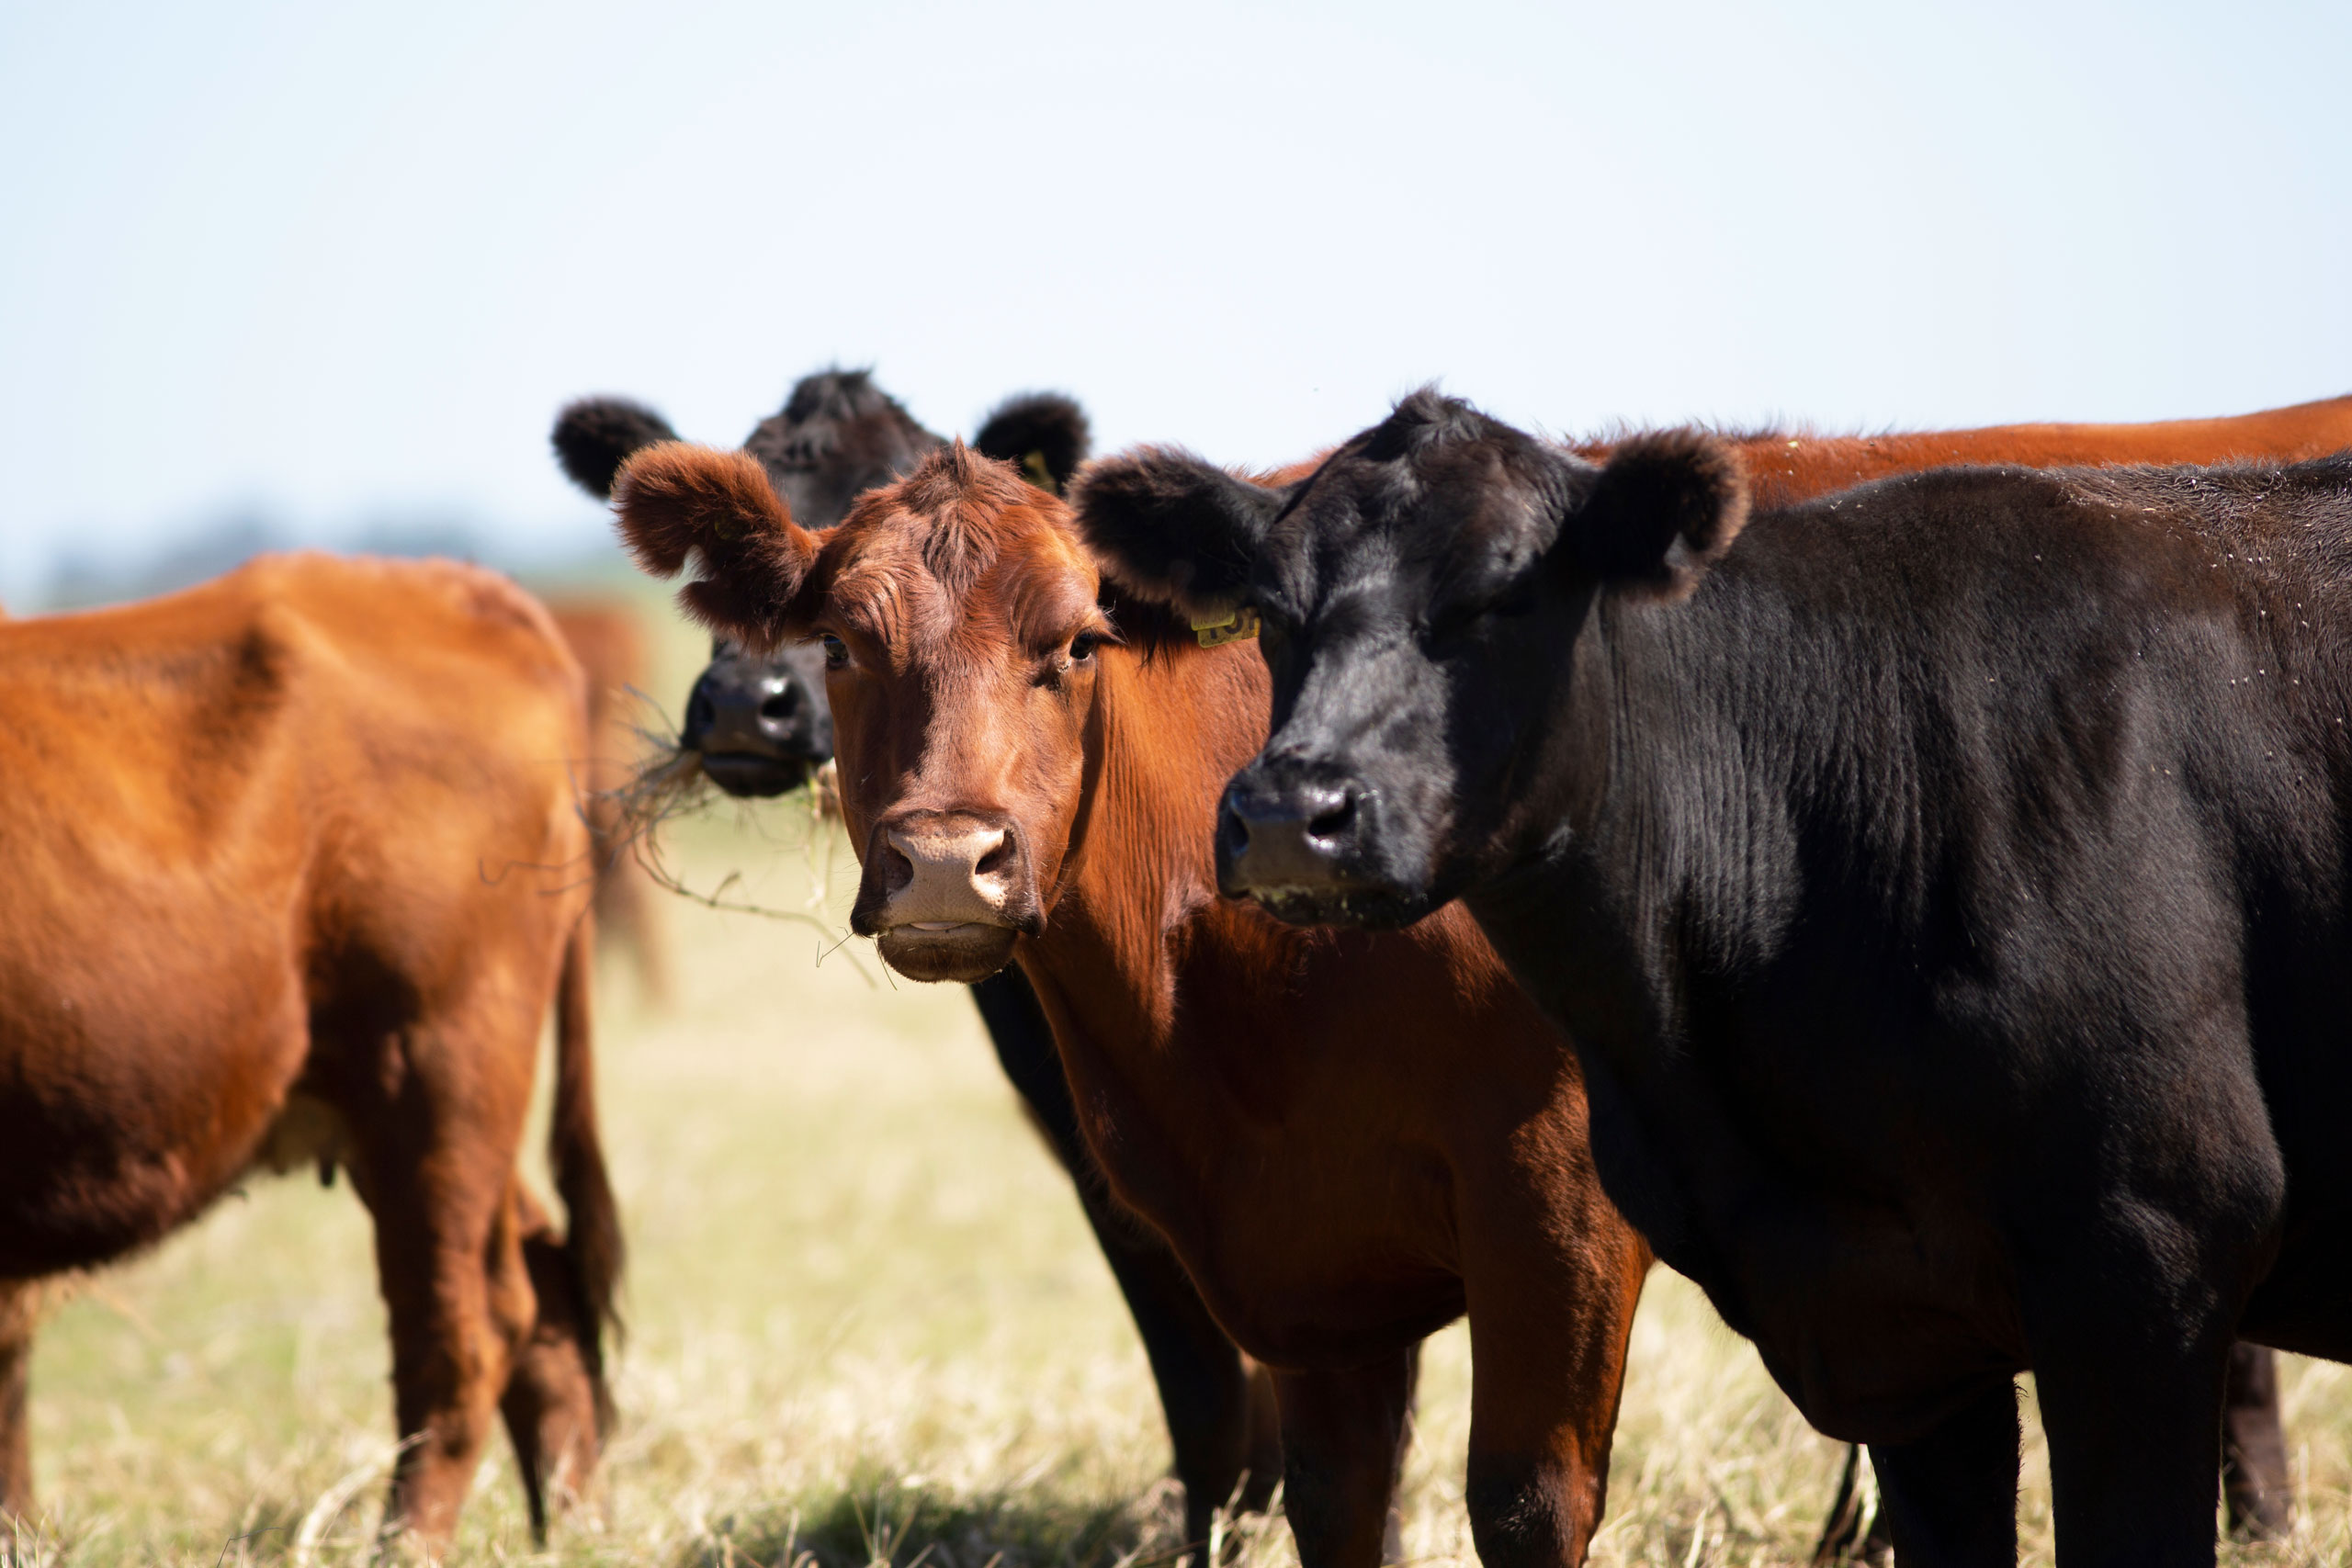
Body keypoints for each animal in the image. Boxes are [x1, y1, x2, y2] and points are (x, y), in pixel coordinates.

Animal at [0, 554, 625, 1561]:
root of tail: (451, 586)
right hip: (405, 1110)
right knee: (544, 1283)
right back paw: (572, 1528)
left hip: (439, 1077)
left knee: (464, 1327)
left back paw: (407, 1543)